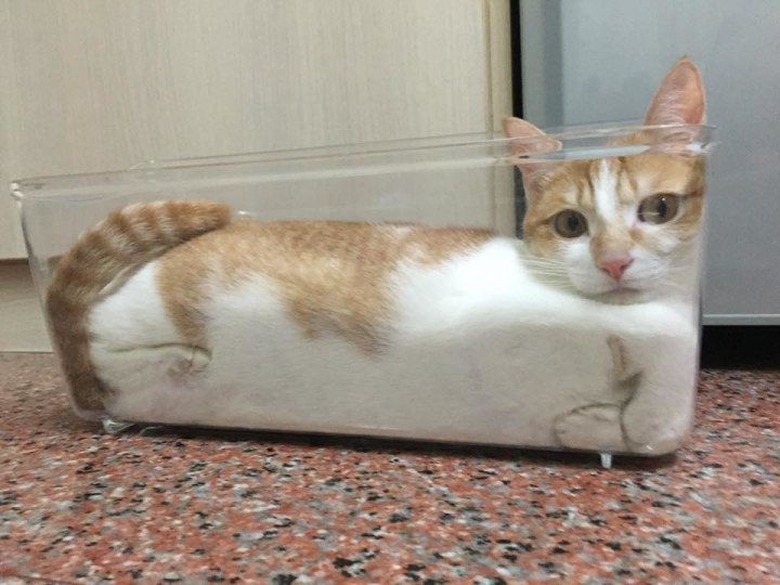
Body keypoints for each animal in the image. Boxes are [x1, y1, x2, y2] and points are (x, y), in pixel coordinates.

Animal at [45, 57, 708, 454]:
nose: (615, 262)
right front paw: (606, 421)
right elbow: (662, 379)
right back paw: (174, 357)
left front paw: (594, 424)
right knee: (97, 357)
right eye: (572, 224)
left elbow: (659, 395)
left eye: (658, 208)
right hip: (146, 319)